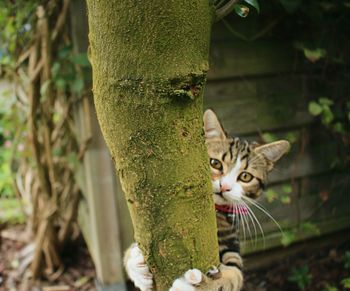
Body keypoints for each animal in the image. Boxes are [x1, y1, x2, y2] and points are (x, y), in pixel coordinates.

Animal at [123, 110, 290, 291]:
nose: (225, 187)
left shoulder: (232, 244)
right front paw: (136, 266)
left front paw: (199, 285)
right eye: (215, 163)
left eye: (246, 176)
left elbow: (234, 274)